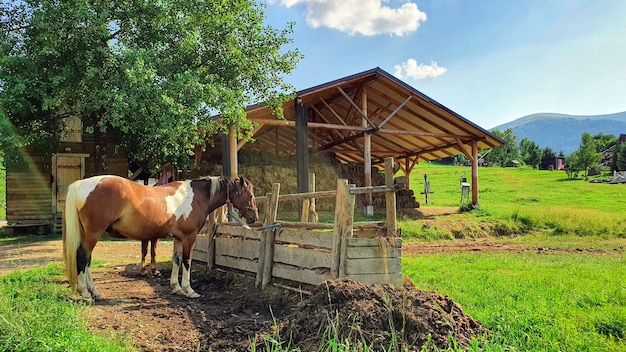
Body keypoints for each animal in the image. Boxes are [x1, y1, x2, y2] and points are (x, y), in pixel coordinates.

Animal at [62, 175, 258, 298]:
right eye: (249, 194)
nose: (254, 217)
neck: (196, 196)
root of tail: (82, 184)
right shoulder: (189, 237)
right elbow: (187, 261)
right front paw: (189, 290)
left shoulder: (178, 238)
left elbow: (176, 260)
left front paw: (176, 288)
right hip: (93, 233)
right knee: (83, 257)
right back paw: (85, 293)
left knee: (87, 260)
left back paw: (94, 291)